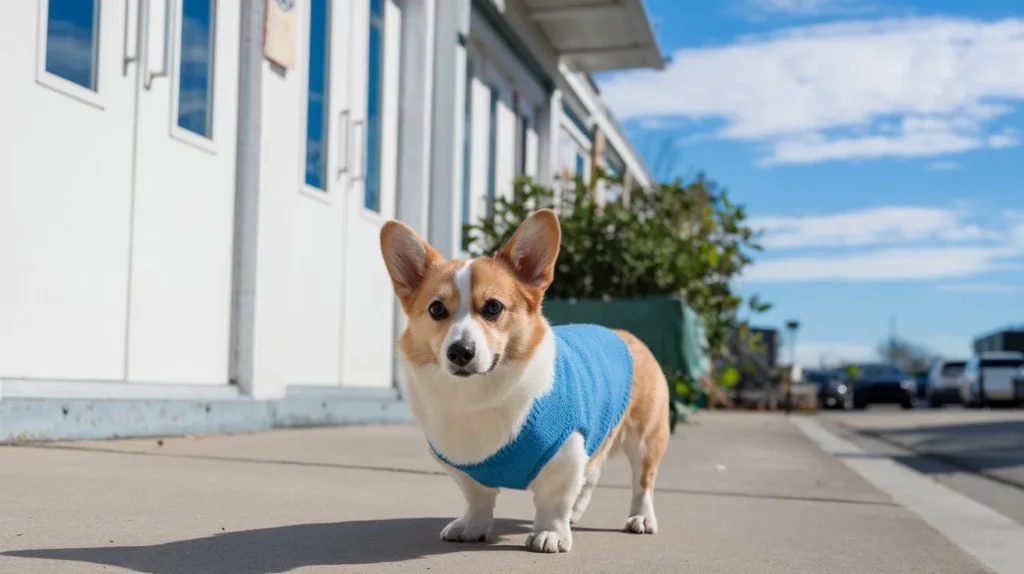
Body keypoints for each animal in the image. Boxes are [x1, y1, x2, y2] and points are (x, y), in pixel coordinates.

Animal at [380, 209, 667, 552]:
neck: (476, 396)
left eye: (493, 307)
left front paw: (550, 533)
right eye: (436, 309)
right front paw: (472, 526)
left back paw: (642, 518)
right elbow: (477, 498)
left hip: (645, 438)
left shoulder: (565, 453)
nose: (460, 352)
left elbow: (553, 501)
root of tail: (624, 334)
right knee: (592, 473)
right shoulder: (465, 470)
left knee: (643, 481)